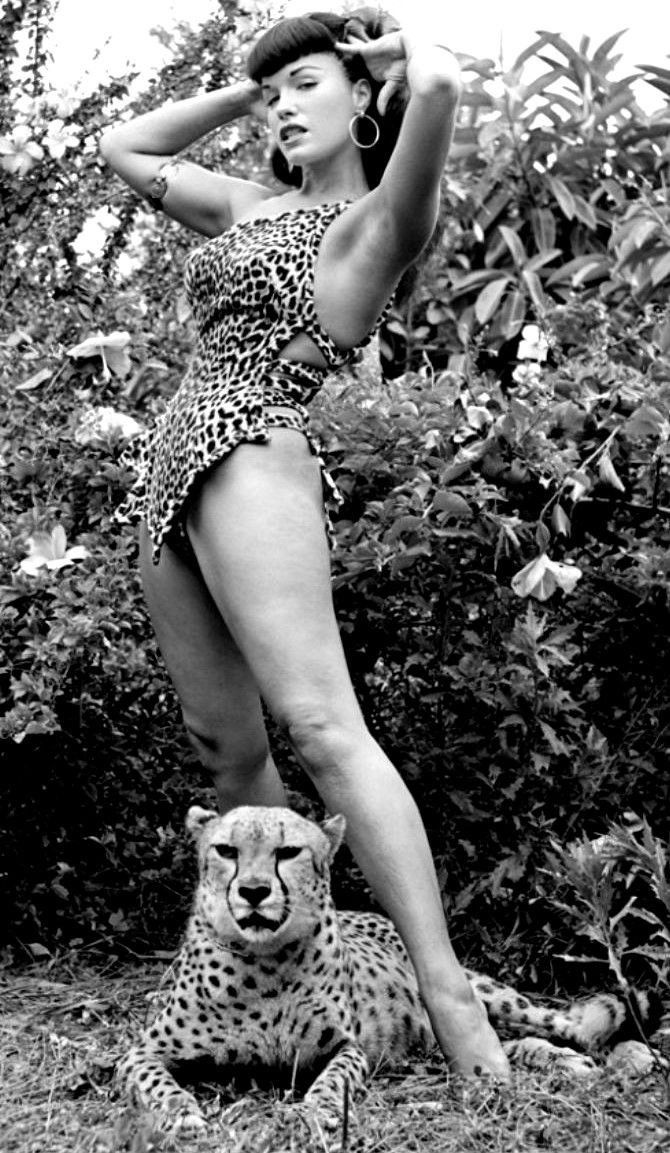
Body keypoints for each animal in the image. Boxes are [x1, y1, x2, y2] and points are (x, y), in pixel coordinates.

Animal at [116, 802, 659, 1125]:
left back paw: (611, 1057)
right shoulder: (139, 1053)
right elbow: (156, 1082)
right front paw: (181, 1114)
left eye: (288, 852)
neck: (265, 965)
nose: (253, 891)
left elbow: (334, 1077)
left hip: (490, 1000)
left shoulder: (347, 1048)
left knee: (572, 1026)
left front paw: (318, 1110)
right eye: (225, 850)